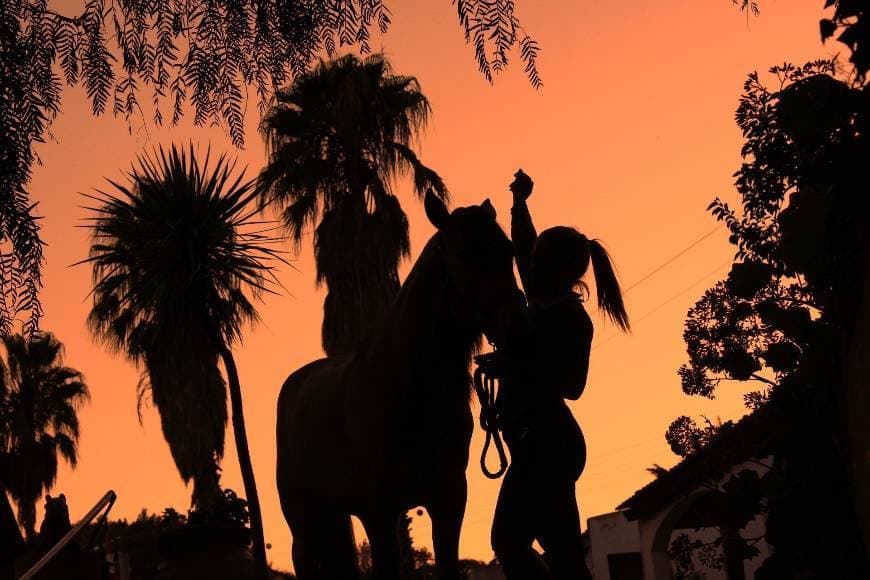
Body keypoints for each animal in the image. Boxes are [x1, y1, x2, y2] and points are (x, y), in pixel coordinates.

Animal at [280, 193, 524, 576]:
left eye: (508, 251)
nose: (517, 325)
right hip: (304, 522)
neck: (409, 392)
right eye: (465, 253)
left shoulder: (448, 500)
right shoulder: (378, 510)